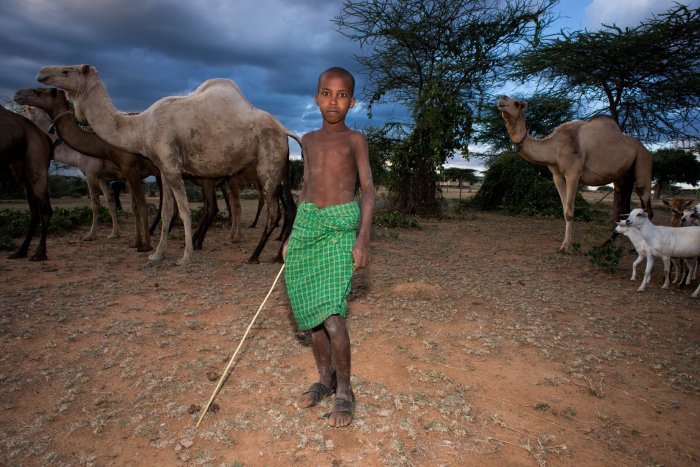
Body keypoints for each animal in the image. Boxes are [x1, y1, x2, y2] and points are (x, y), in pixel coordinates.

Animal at [0, 105, 52, 264]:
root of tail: (44, 136)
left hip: (36, 162)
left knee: (45, 209)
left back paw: (39, 254)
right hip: (21, 172)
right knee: (34, 212)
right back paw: (20, 252)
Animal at [14, 89, 159, 254]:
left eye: (26, 111)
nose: (17, 115)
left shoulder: (91, 174)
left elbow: (95, 204)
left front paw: (90, 235)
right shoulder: (103, 177)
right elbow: (110, 203)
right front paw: (114, 233)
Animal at [37, 64, 298, 266]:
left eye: (67, 70)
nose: (42, 73)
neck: (141, 126)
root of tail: (284, 130)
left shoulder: (172, 166)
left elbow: (183, 211)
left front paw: (185, 256)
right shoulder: (162, 169)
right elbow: (166, 212)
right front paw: (156, 254)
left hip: (269, 162)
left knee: (274, 211)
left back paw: (255, 256)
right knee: (287, 208)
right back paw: (277, 256)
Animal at [494, 94, 652, 252]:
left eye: (516, 103)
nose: (501, 99)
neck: (554, 147)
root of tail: (645, 149)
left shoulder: (573, 173)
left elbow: (569, 211)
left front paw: (566, 246)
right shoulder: (557, 175)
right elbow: (564, 209)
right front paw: (566, 244)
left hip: (642, 160)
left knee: (645, 201)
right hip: (623, 175)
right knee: (624, 205)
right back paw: (608, 243)